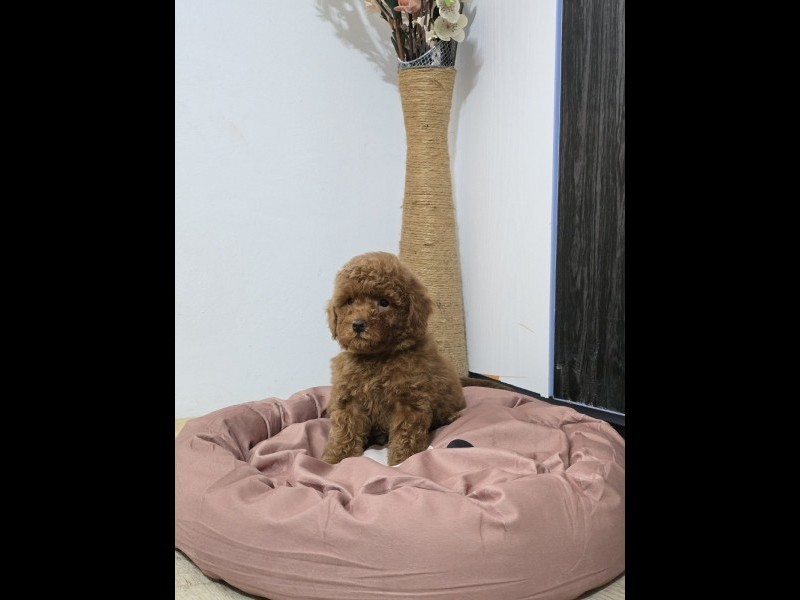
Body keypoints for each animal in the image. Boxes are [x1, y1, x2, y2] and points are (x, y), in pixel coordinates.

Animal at [321, 251, 465, 466]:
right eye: (349, 301)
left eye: (384, 302)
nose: (358, 325)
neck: (377, 357)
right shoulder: (349, 400)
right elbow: (344, 429)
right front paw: (336, 458)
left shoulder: (409, 401)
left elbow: (406, 434)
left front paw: (402, 461)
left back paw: (449, 417)